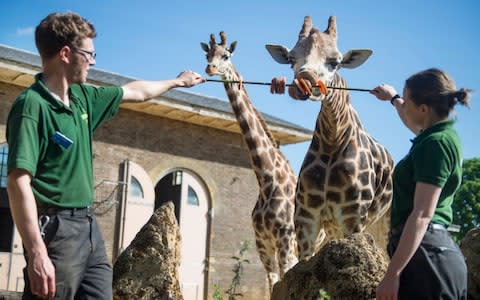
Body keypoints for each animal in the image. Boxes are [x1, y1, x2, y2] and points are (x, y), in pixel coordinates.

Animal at [201, 31, 298, 290]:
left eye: (226, 55)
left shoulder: (285, 240)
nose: (210, 68)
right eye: (207, 54)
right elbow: (273, 285)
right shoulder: (262, 243)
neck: (266, 179)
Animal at [266, 15, 394, 260]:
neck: (332, 141)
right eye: (291, 59)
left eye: (335, 62)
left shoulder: (353, 216)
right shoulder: (306, 215)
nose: (304, 80)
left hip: (380, 223)